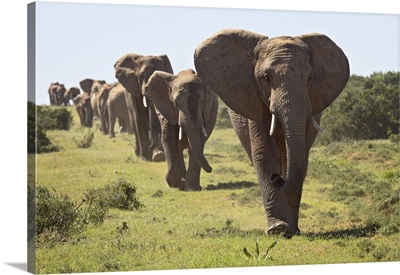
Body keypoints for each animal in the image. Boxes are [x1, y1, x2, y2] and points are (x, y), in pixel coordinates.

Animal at [192, 29, 348, 237]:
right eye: (266, 78)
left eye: (309, 78)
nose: (277, 179)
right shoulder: (254, 99)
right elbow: (264, 153)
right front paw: (278, 229)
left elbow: (299, 156)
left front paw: (290, 230)